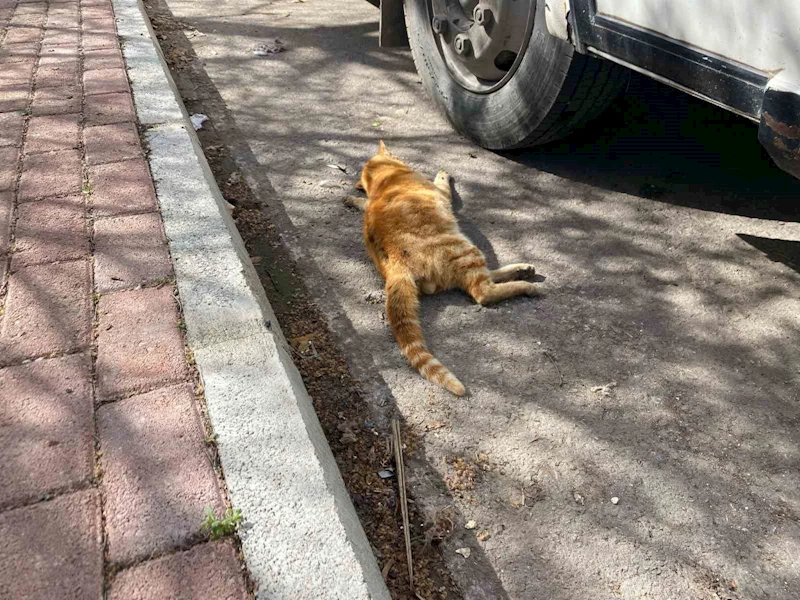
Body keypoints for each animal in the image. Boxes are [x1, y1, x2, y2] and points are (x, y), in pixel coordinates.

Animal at [346, 139, 540, 394]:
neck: (387, 179)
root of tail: (395, 267)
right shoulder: (439, 192)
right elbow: (442, 184)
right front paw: (442, 175)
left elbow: (363, 202)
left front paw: (353, 200)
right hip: (466, 249)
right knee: (483, 292)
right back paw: (526, 284)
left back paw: (522, 269)